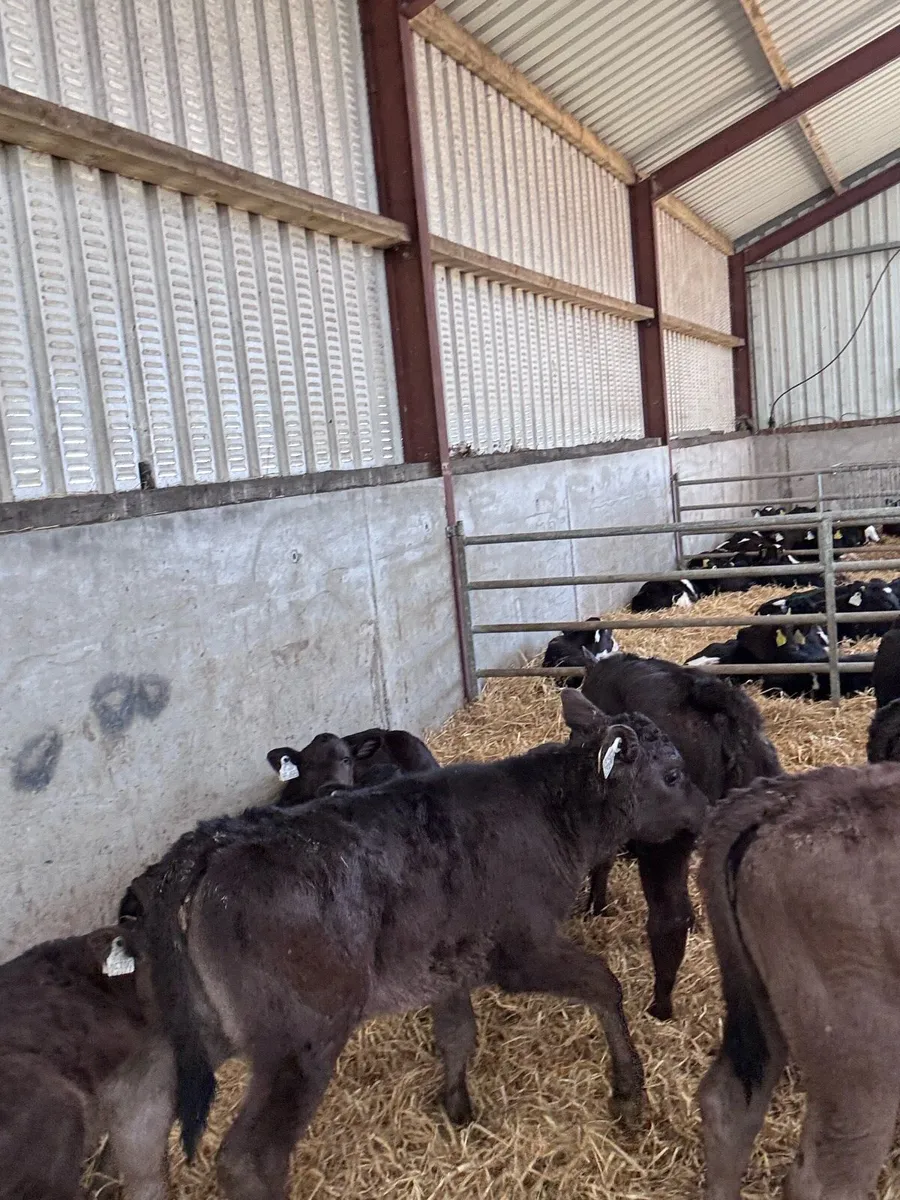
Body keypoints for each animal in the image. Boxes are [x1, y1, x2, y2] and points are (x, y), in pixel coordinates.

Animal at [125, 697, 704, 1198]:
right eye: (674, 775)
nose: (705, 810)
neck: (553, 815)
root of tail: (216, 839)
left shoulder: (444, 962)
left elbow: (457, 1034)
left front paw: (457, 1106)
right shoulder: (522, 950)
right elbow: (604, 984)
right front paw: (628, 1093)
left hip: (197, 1031)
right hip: (300, 1040)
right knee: (248, 1158)